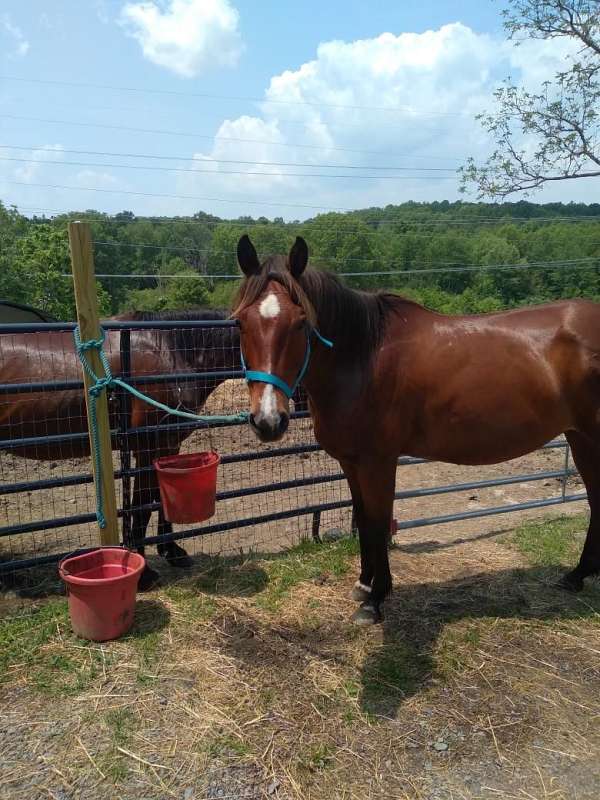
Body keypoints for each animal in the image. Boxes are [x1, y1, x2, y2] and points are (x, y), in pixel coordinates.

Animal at [0, 308, 239, 589]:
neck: (172, 351)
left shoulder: (168, 445)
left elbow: (163, 499)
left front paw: (172, 553)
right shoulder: (146, 449)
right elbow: (141, 506)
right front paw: (143, 574)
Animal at [233, 234, 600, 625]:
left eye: (301, 322)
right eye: (240, 323)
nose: (268, 421)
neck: (362, 357)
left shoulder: (378, 462)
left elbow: (378, 522)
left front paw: (376, 599)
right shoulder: (351, 462)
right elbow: (362, 519)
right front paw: (363, 584)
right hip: (581, 439)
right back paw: (577, 575)